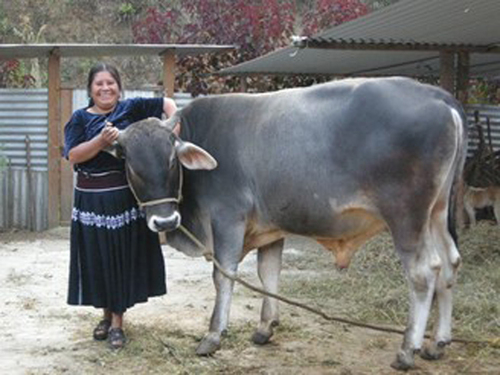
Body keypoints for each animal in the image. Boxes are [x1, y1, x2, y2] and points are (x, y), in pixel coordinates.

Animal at [107, 76, 466, 370]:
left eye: (171, 160)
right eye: (130, 164)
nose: (165, 220)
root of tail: (437, 95)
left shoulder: (227, 219)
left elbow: (224, 276)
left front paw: (213, 335)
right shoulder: (270, 229)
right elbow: (269, 273)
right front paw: (265, 328)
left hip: (406, 218)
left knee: (424, 273)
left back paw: (407, 350)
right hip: (437, 213)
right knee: (449, 263)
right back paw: (438, 343)